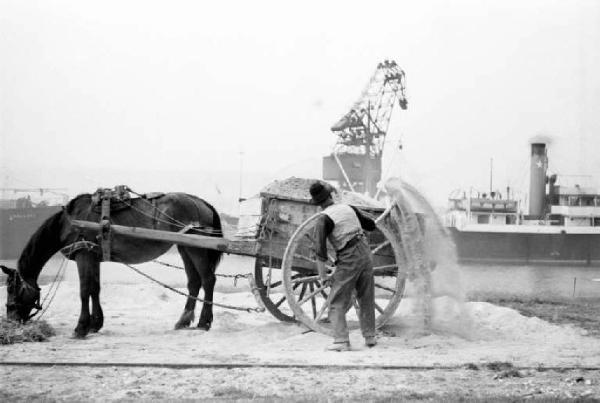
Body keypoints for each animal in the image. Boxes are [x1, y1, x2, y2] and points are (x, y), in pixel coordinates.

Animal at [2, 191, 223, 340]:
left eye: (12, 288)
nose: (10, 320)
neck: (70, 222)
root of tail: (201, 202)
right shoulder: (93, 256)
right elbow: (95, 288)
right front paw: (95, 324)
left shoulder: (84, 254)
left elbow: (84, 290)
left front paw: (81, 327)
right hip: (186, 246)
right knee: (194, 282)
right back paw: (183, 321)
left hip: (195, 247)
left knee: (208, 279)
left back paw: (204, 322)